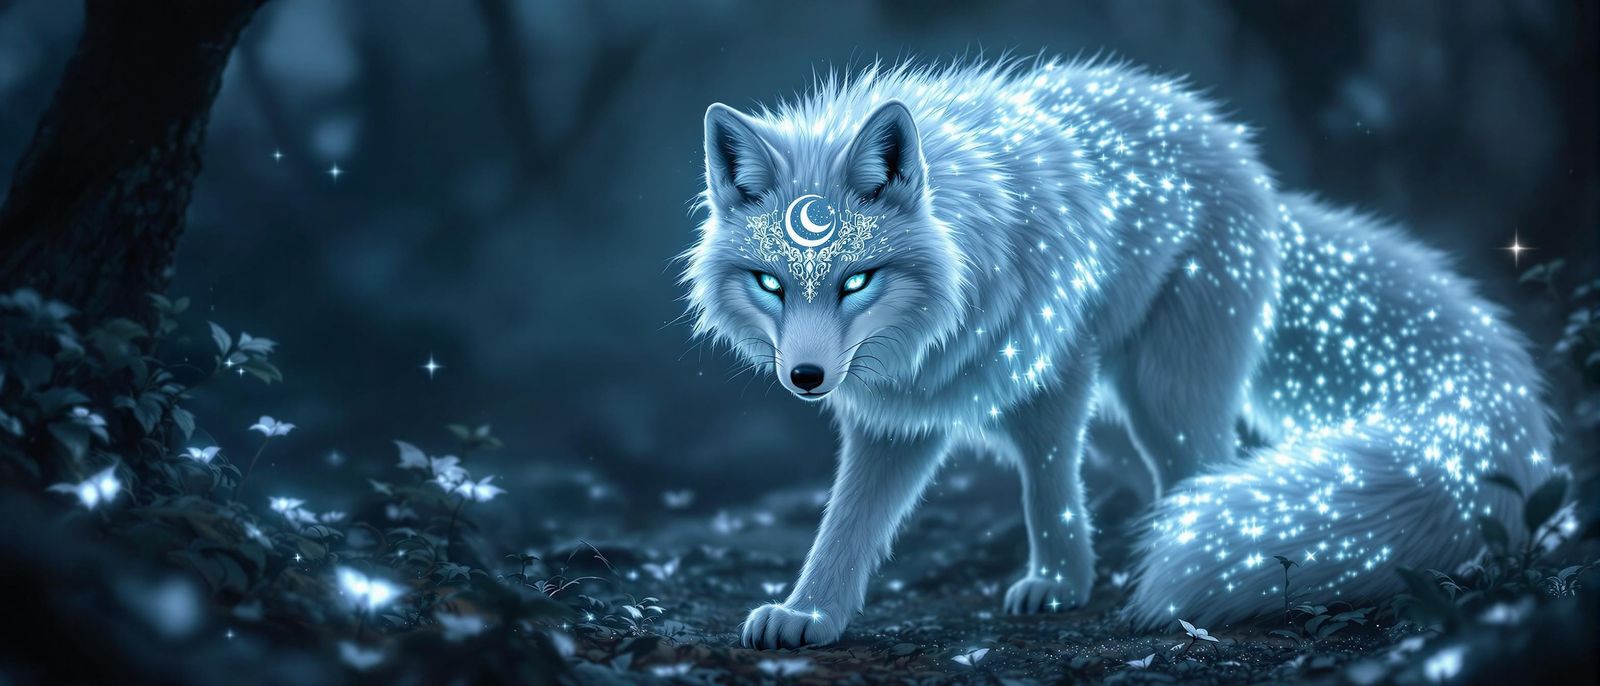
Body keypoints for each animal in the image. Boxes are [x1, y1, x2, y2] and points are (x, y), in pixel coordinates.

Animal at [680, 58, 1555, 649]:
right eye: (770, 283)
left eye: (857, 279)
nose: (807, 378)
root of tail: (1251, 167)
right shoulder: (899, 419)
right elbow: (847, 528)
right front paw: (809, 615)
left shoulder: (1057, 374)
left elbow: (1046, 491)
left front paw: (1057, 584)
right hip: (1128, 412)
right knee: (1155, 477)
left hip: (1164, 398)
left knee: (1205, 469)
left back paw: (1205, 567)